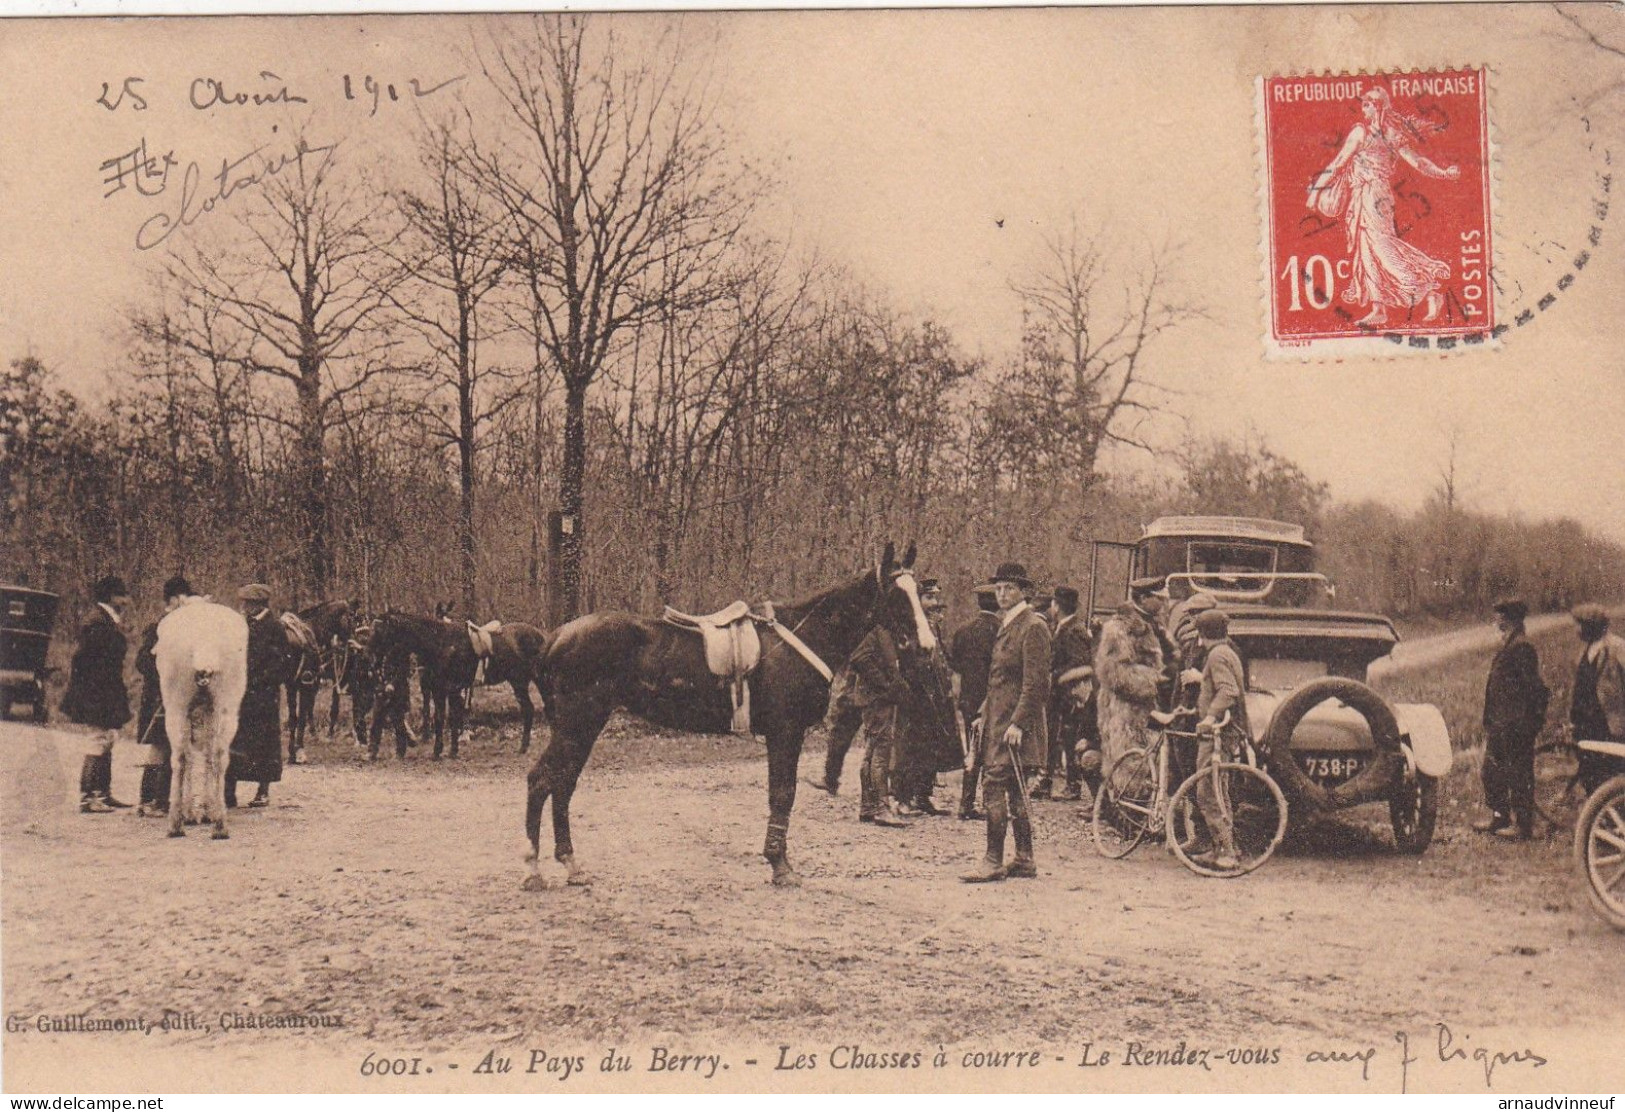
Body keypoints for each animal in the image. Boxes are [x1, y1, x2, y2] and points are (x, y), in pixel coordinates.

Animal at [156, 604, 247, 838]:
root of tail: (203, 640)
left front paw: (196, 812)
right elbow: (205, 755)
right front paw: (204, 812)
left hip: (176, 705)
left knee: (181, 757)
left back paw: (177, 823)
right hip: (225, 704)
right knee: (218, 755)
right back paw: (220, 826)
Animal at [281, 598, 354, 764]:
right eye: (351, 619)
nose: (352, 644)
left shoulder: (293, 685)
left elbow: (294, 718)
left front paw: (292, 753)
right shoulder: (305, 685)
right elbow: (302, 717)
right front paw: (300, 750)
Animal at [365, 611, 549, 760]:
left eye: (379, 631)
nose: (368, 654)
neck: (441, 644)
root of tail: (540, 635)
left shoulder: (450, 689)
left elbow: (450, 718)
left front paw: (443, 751)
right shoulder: (439, 690)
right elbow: (442, 718)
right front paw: (446, 751)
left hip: (526, 681)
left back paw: (525, 747)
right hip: (520, 682)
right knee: (529, 709)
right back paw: (524, 747)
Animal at [520, 542, 929, 890]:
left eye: (918, 591)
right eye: (896, 594)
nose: (926, 646)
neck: (804, 635)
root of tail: (554, 638)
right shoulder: (785, 731)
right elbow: (783, 794)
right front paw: (780, 866)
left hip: (582, 727)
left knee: (562, 784)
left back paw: (571, 865)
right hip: (577, 725)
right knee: (542, 781)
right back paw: (533, 870)